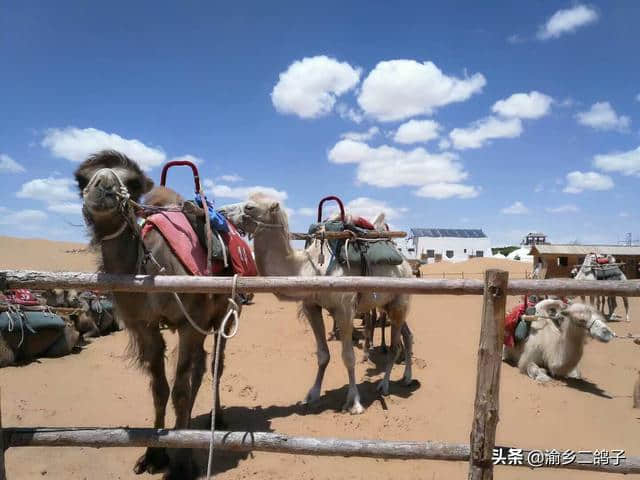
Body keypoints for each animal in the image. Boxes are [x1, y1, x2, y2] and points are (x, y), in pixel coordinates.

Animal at [220, 194, 416, 412]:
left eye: (250, 207)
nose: (220, 211)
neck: (309, 268)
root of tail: (407, 265)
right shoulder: (311, 306)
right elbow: (322, 355)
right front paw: (312, 394)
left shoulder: (344, 308)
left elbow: (348, 357)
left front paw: (354, 402)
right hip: (388, 304)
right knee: (407, 335)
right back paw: (407, 378)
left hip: (399, 301)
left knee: (394, 346)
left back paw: (385, 385)